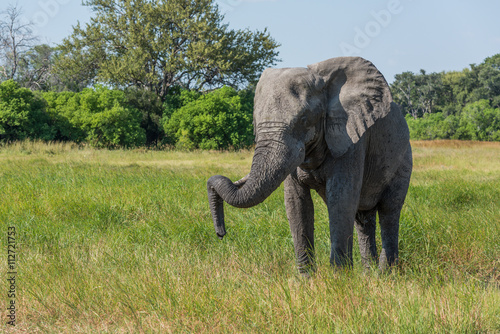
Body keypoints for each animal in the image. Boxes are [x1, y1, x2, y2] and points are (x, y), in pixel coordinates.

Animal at [205, 55, 412, 274]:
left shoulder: (351, 140)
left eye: (304, 119)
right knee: (363, 218)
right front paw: (306, 278)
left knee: (389, 211)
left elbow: (340, 199)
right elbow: (296, 203)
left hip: (403, 160)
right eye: (255, 121)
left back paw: (385, 273)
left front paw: (339, 278)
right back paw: (368, 273)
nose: (221, 234)